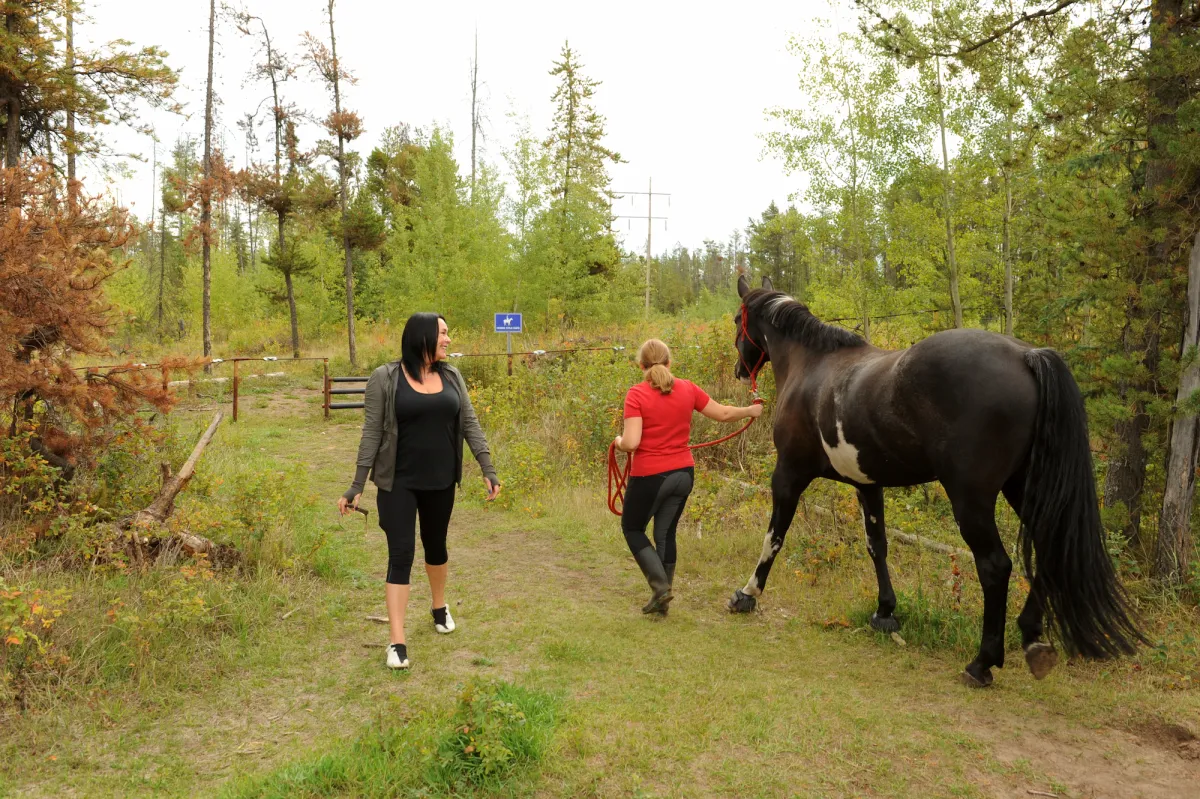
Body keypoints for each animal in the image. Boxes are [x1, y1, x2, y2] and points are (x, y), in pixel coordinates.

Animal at [724, 275, 1147, 686]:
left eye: (736, 322)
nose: (740, 371)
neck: (812, 366)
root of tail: (1026, 356)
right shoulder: (868, 485)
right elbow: (877, 546)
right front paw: (885, 612)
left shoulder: (789, 474)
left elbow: (774, 536)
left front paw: (747, 594)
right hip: (1025, 488)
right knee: (1049, 549)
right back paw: (1031, 639)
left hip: (971, 498)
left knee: (995, 566)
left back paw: (982, 663)